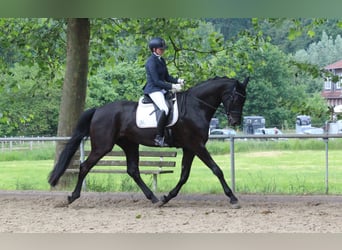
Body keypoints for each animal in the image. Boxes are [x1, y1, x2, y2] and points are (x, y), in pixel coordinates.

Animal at [48, 75, 248, 207]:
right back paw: (72, 197)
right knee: (84, 167)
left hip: (129, 144)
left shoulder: (190, 148)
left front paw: (167, 197)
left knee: (133, 170)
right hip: (102, 146)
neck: (195, 106)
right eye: (235, 97)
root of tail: (98, 110)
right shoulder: (196, 146)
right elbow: (216, 169)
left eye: (243, 99)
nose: (235, 122)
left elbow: (184, 175)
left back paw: (153, 198)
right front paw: (233, 198)